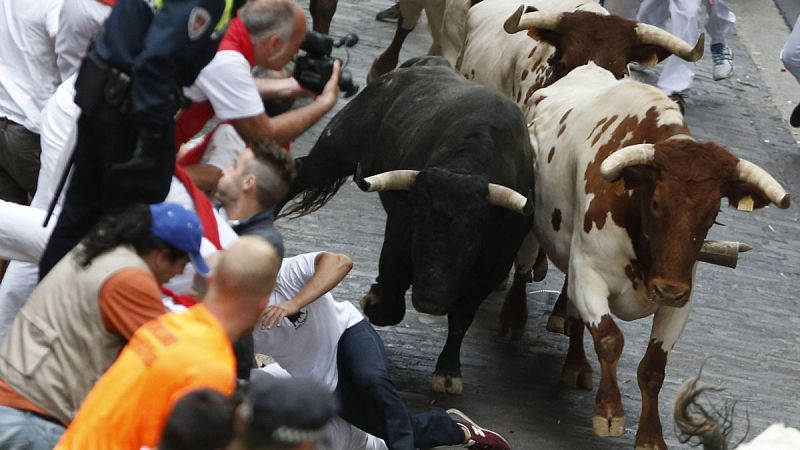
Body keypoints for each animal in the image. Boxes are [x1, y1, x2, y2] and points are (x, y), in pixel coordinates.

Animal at [278, 58, 536, 392]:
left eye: (471, 238)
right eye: (419, 225)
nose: (430, 301)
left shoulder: (495, 265)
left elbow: (462, 317)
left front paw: (448, 372)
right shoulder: (399, 231)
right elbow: (392, 288)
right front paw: (374, 301)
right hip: (335, 148)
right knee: (299, 172)